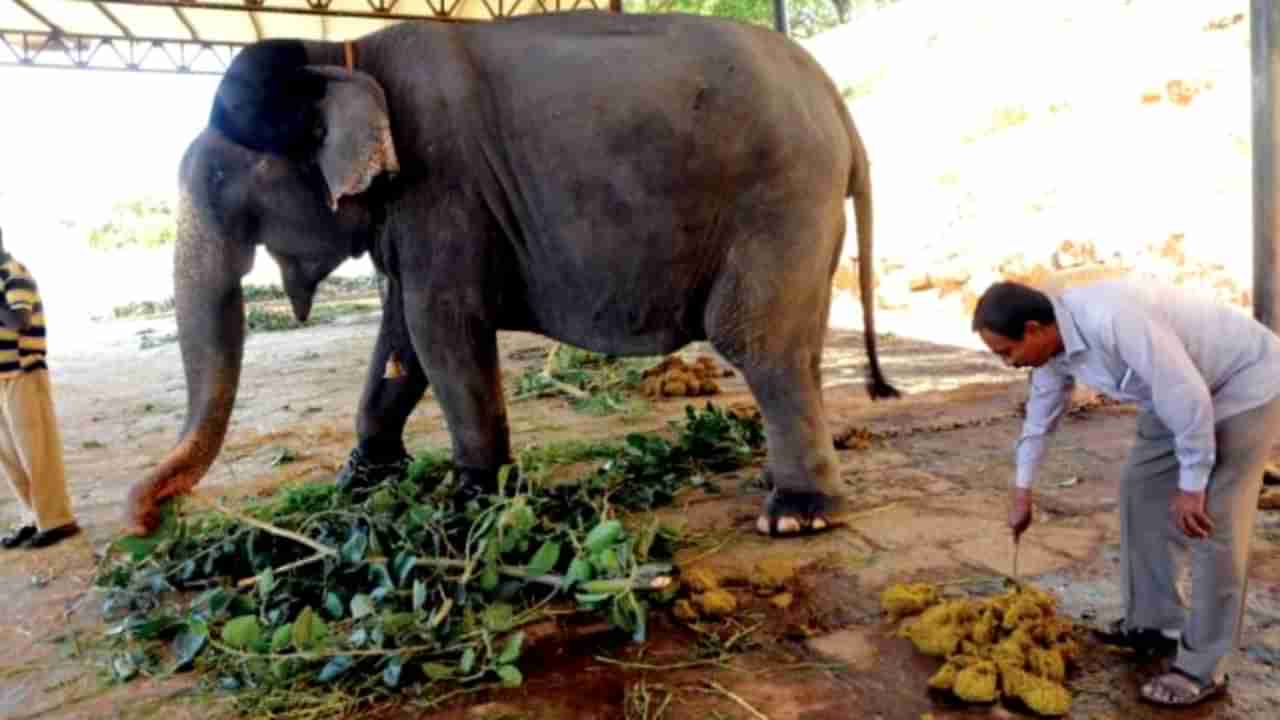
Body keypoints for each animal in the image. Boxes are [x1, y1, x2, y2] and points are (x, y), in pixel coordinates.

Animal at [122, 9, 901, 538]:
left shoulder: (441, 187)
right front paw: (362, 480)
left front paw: (470, 498)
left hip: (780, 201)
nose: (149, 519)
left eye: (219, 180)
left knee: (755, 342)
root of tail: (840, 108)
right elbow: (401, 338)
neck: (337, 54)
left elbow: (442, 330)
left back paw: (795, 516)